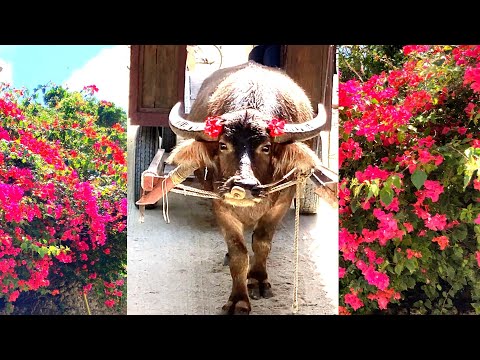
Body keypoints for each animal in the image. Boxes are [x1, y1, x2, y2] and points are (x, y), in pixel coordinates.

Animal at [166, 60, 326, 314]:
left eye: (266, 147)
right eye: (223, 145)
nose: (242, 186)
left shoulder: (281, 203)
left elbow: (261, 241)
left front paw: (258, 280)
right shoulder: (221, 207)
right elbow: (238, 254)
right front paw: (238, 299)